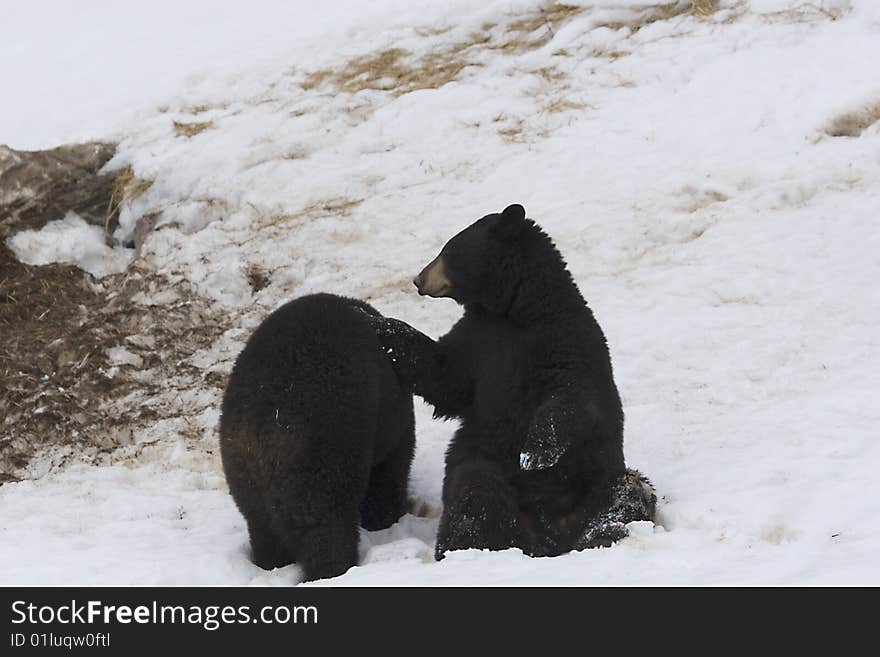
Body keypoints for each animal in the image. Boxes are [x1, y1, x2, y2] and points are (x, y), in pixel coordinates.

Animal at [218, 292, 414, 580]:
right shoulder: (392, 425)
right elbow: (389, 474)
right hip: (324, 452)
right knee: (326, 529)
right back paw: (336, 570)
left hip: (243, 467)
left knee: (263, 527)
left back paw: (272, 564)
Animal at [364, 204, 652, 560]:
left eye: (449, 250)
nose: (418, 279)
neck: (515, 311)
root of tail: (548, 540)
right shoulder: (479, 340)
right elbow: (446, 377)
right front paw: (377, 322)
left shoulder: (567, 340)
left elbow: (572, 396)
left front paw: (534, 454)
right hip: (498, 477)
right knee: (476, 489)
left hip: (595, 487)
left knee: (629, 491)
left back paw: (601, 531)